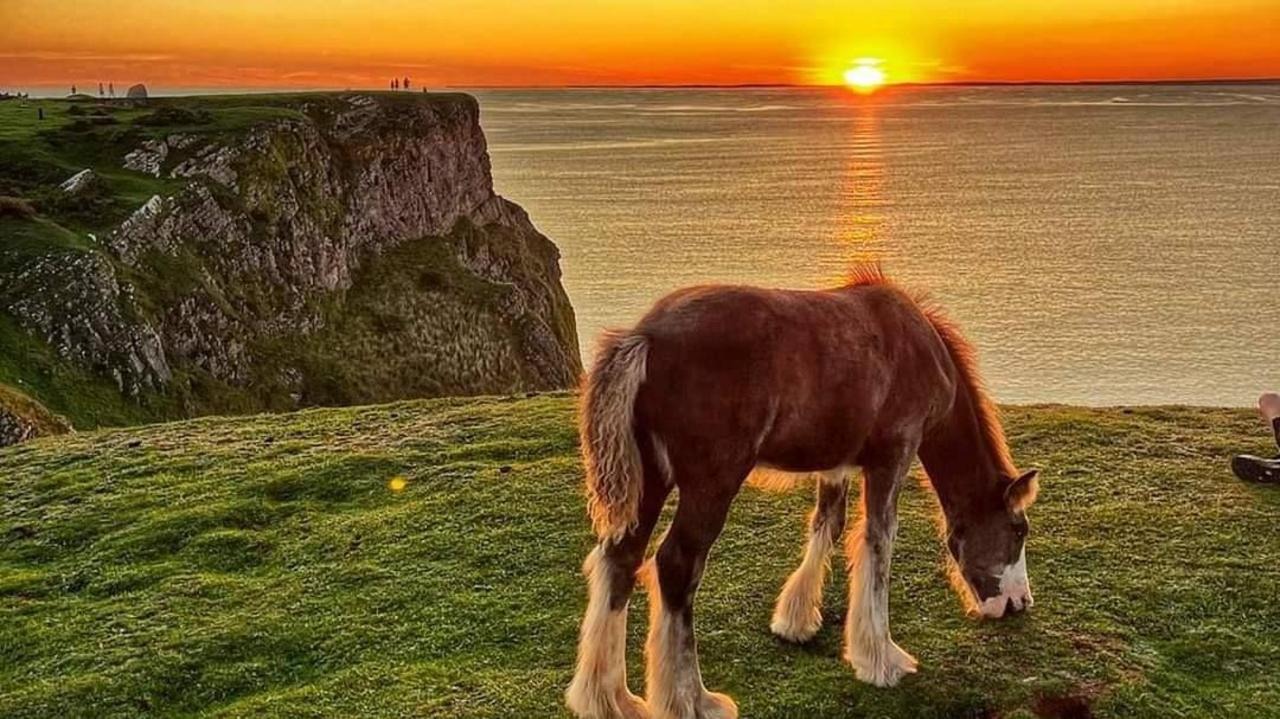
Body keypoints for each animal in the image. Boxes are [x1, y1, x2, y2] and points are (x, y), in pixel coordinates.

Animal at [565, 266, 1040, 719]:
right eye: (1019, 531)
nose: (1018, 602)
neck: (919, 346)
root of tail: (644, 336)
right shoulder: (893, 458)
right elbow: (877, 546)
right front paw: (881, 659)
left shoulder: (836, 465)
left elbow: (827, 527)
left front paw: (795, 620)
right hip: (711, 484)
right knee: (676, 565)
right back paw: (691, 701)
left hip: (651, 480)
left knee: (620, 559)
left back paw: (609, 698)